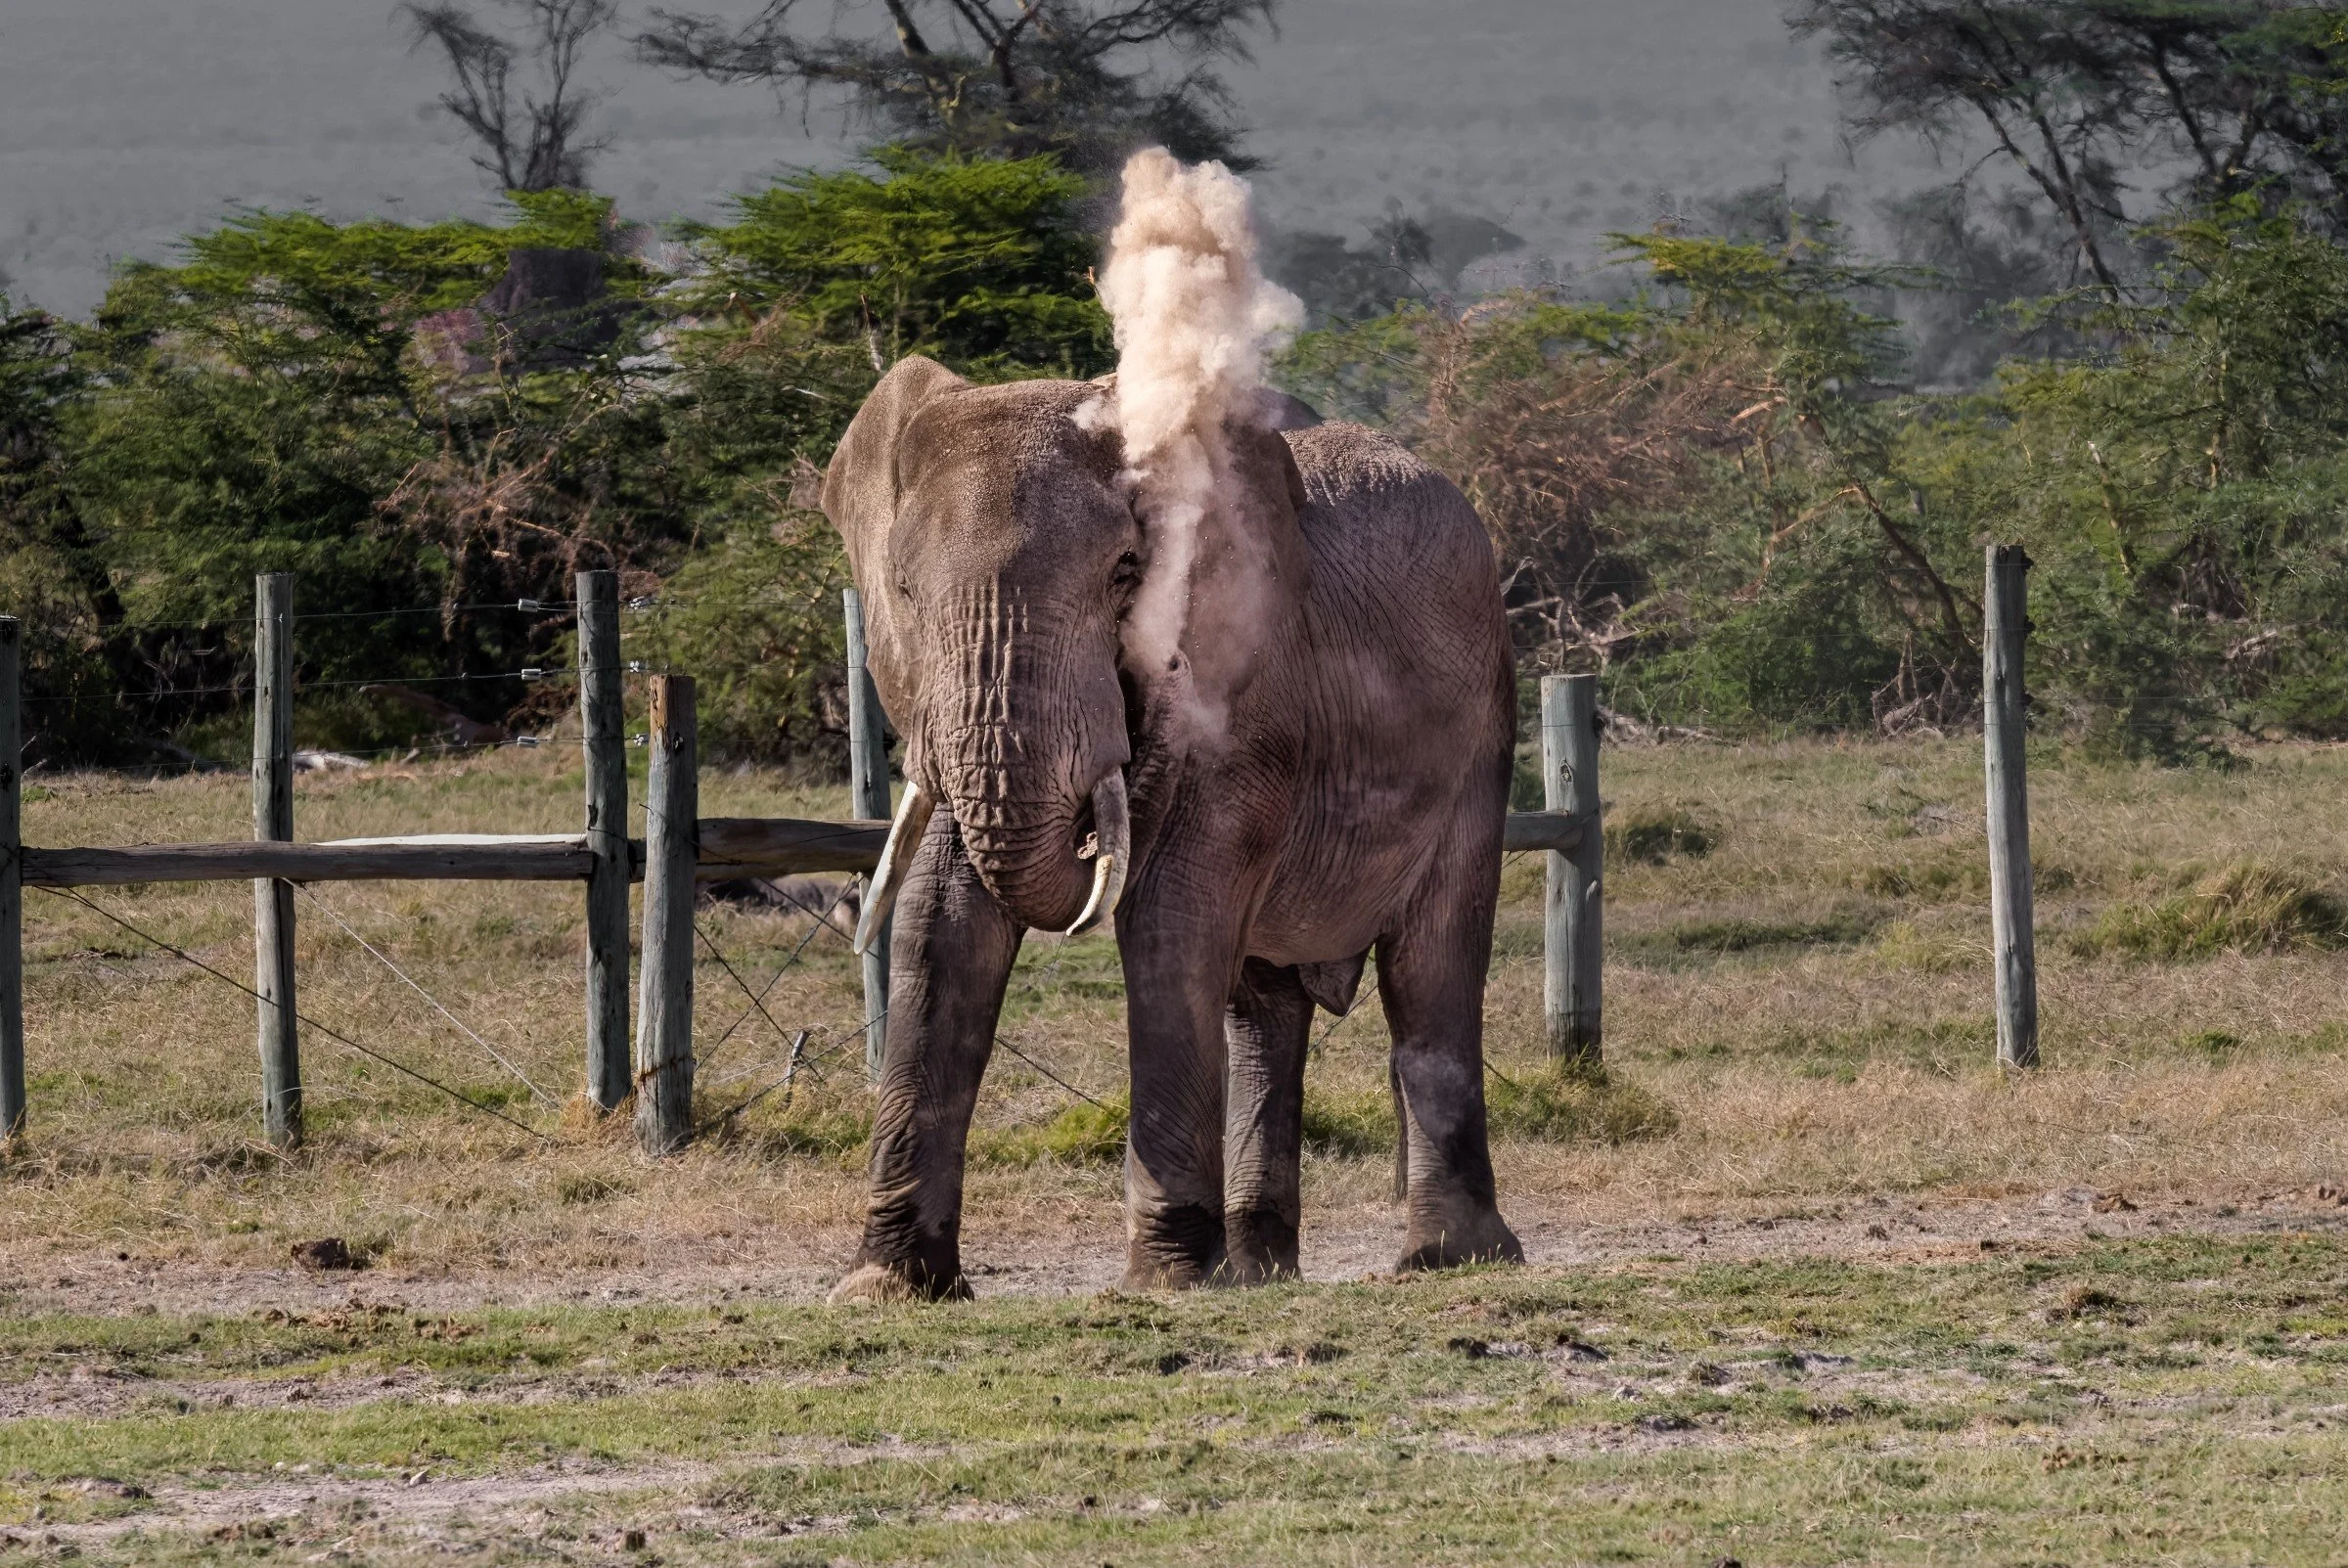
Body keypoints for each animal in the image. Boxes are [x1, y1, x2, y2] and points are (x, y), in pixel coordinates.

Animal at [821, 353, 1523, 1299]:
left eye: (1126, 572)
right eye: (901, 590)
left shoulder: (1245, 707)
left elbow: (1170, 920)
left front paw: (1171, 1281)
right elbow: (940, 925)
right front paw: (888, 1285)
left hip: (1483, 726)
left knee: (1433, 968)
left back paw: (1449, 1260)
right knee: (1263, 1003)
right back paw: (1262, 1271)